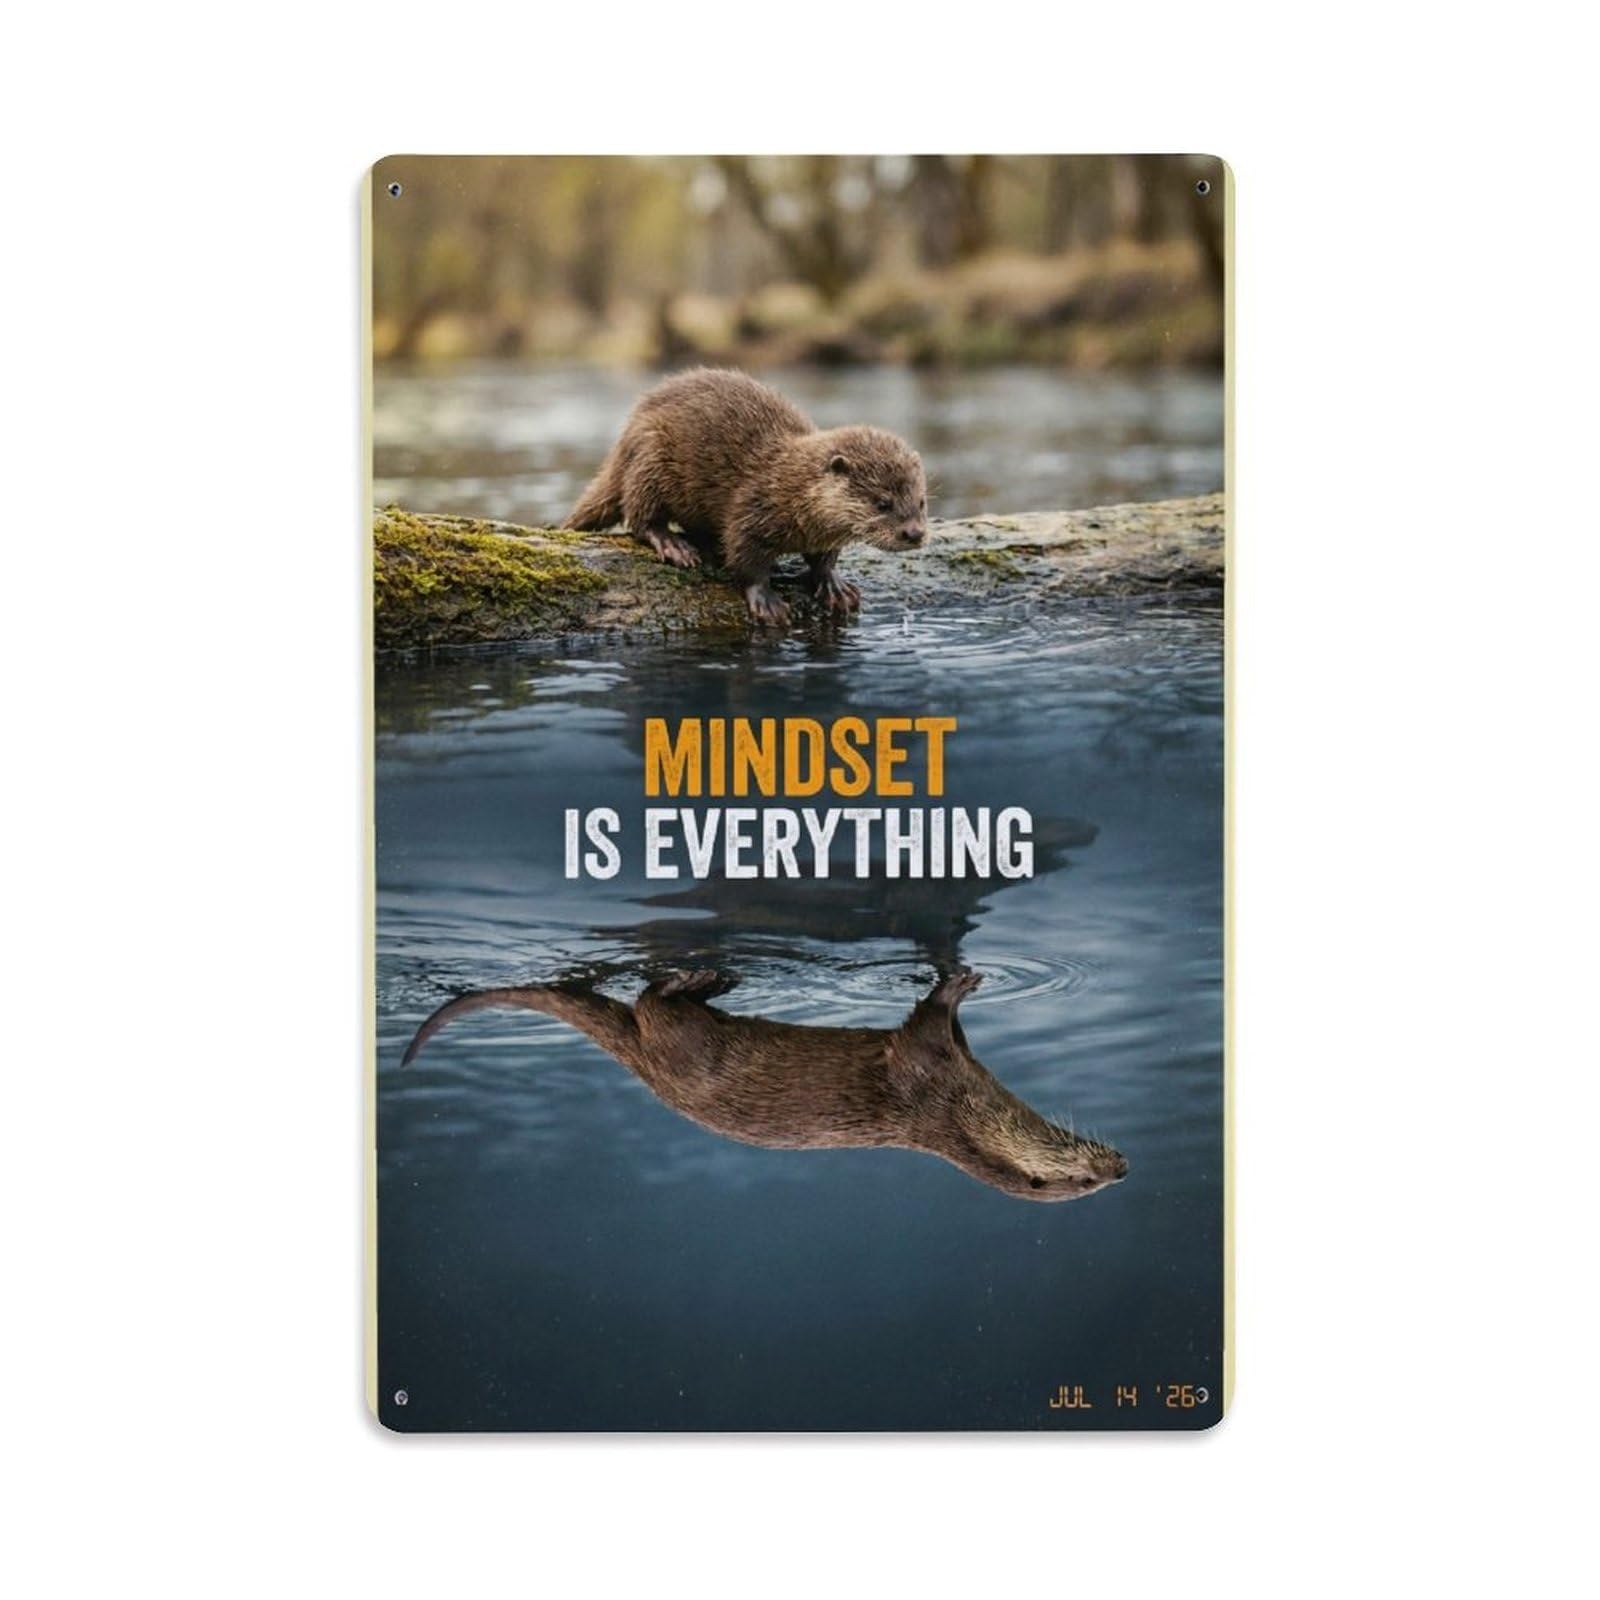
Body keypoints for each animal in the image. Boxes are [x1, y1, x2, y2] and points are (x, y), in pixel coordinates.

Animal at [401, 968, 1127, 1203]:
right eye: (1081, 1182)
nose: (1120, 1168)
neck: (957, 1107)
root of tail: (644, 1067)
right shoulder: (924, 1068)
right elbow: (926, 1020)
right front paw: (958, 983)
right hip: (688, 1049)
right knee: (650, 1001)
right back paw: (702, 977)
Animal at [563, 368, 930, 625]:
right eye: (882, 502)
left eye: (921, 501)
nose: (914, 533)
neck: (790, 487)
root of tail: (625, 436)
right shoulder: (751, 508)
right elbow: (745, 558)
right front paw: (765, 600)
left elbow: (825, 557)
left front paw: (833, 585)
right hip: (650, 459)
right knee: (639, 515)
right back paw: (674, 545)